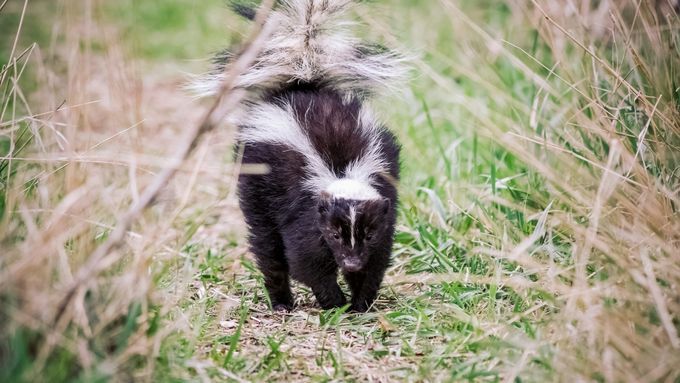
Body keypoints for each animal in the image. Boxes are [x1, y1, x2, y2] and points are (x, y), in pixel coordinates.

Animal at [195, 0, 410, 312]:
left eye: (368, 234)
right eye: (335, 234)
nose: (351, 263)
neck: (341, 172)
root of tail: (303, 84)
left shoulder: (384, 211)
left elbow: (376, 261)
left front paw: (359, 302)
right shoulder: (304, 213)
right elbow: (305, 261)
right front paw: (335, 301)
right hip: (256, 186)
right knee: (267, 247)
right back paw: (281, 301)